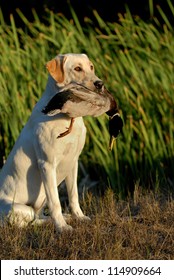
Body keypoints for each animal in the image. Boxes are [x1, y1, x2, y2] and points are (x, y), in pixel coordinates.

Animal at [0, 53, 104, 232]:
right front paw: (62, 227)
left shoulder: (73, 162)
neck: (68, 117)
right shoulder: (47, 165)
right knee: (31, 221)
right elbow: (56, 203)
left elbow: (73, 195)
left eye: (91, 67)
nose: (100, 84)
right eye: (77, 68)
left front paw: (79, 217)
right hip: (20, 208)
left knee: (39, 215)